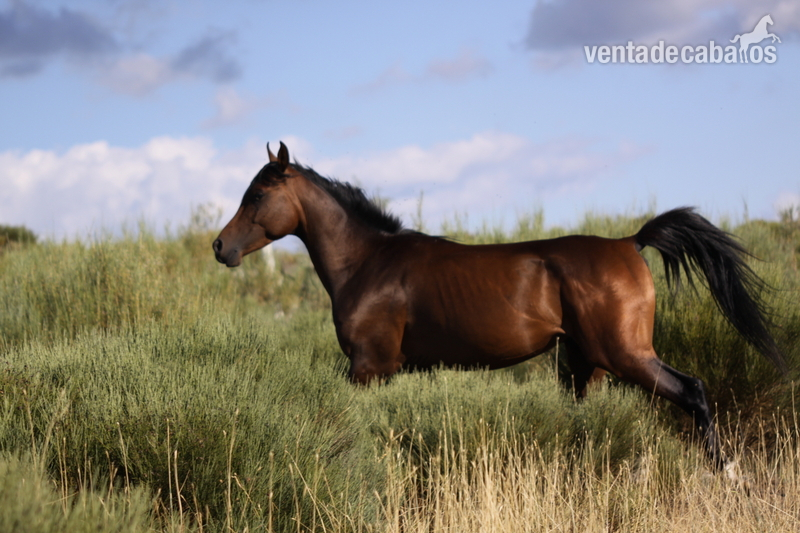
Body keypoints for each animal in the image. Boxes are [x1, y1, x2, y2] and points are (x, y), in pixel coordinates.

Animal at [213, 142, 786, 468]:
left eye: (257, 195)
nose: (221, 247)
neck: (369, 262)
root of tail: (629, 242)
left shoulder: (368, 367)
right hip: (585, 366)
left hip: (626, 356)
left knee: (694, 392)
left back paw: (726, 471)